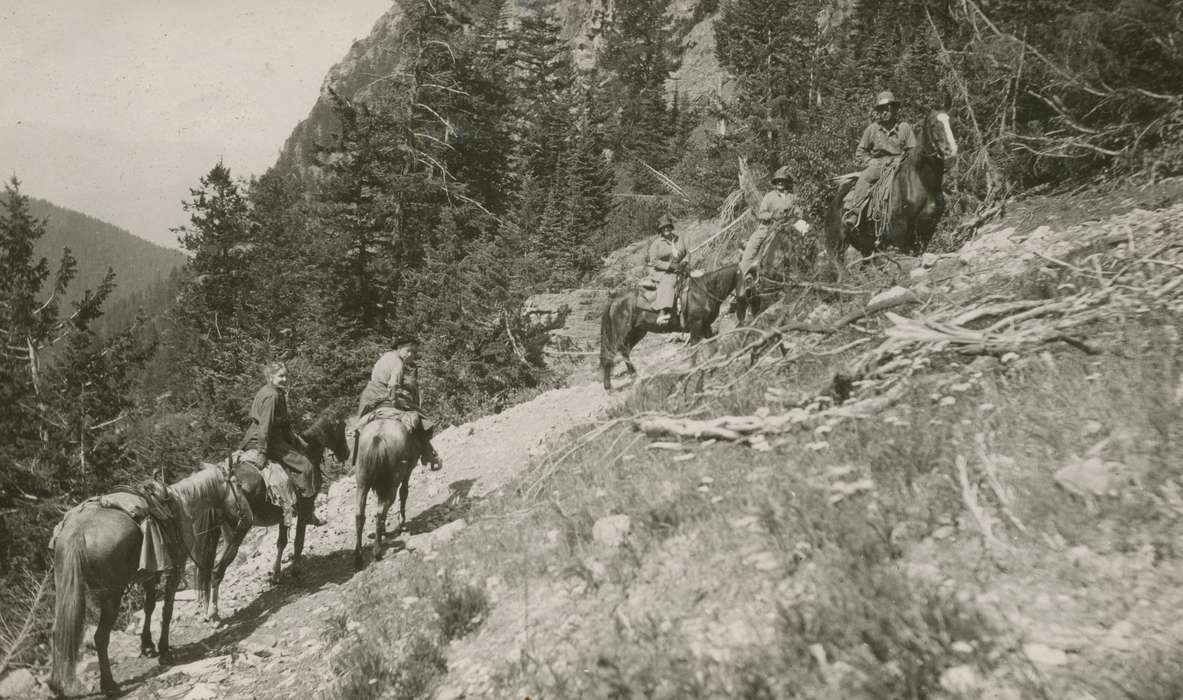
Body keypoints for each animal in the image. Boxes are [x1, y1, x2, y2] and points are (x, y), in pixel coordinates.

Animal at [49, 461, 249, 695]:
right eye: (238, 485)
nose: (248, 517)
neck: (181, 502)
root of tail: (77, 532)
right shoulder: (175, 569)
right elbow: (167, 610)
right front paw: (164, 650)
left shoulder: (150, 573)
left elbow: (149, 606)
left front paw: (147, 646)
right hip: (112, 596)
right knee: (100, 637)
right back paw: (109, 685)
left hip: (66, 591)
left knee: (58, 633)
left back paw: (57, 686)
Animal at [191, 406, 347, 619]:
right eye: (341, 427)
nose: (347, 453)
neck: (306, 450)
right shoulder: (302, 509)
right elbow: (298, 541)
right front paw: (296, 570)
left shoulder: (284, 512)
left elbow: (281, 543)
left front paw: (276, 575)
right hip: (236, 533)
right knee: (216, 571)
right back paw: (213, 612)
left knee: (208, 571)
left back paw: (208, 608)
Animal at [354, 416, 444, 567]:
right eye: (427, 437)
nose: (436, 458)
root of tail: (378, 436)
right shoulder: (407, 473)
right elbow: (404, 493)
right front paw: (401, 522)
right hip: (392, 485)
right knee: (380, 512)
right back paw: (377, 552)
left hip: (362, 484)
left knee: (360, 516)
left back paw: (358, 557)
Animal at [600, 263, 738, 390]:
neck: (704, 291)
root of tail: (615, 300)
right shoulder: (696, 325)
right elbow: (694, 348)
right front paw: (692, 370)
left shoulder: (706, 325)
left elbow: (713, 345)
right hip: (621, 333)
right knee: (612, 353)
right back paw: (608, 386)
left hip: (638, 332)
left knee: (625, 350)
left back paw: (634, 376)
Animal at [828, 99, 955, 280]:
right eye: (933, 124)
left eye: (951, 122)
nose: (951, 151)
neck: (920, 184)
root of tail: (834, 202)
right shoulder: (899, 234)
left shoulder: (926, 230)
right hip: (837, 244)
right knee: (840, 268)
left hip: (865, 245)